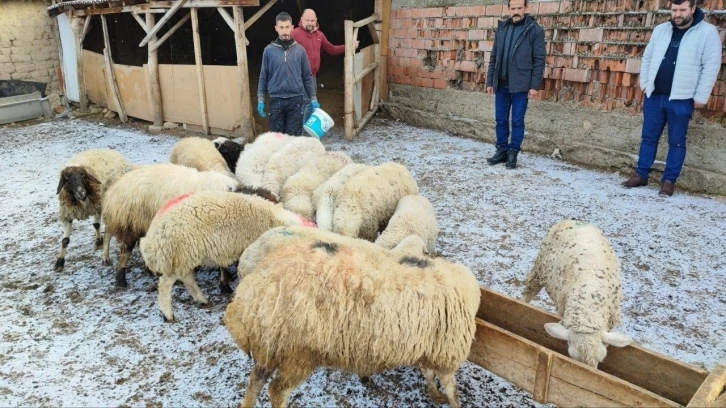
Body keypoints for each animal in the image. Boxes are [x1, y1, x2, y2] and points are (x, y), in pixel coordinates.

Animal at [139, 191, 316, 322]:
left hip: (184, 256)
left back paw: (202, 300)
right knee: (165, 285)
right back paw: (168, 314)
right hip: (178, 254)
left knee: (187, 278)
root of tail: (153, 236)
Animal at [225, 226, 480, 408]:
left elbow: (429, 374)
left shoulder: (427, 347)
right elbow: (452, 390)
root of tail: (252, 290)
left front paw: (434, 394)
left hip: (272, 346)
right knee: (276, 391)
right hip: (298, 354)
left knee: (255, 379)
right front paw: (449, 400)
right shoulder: (445, 352)